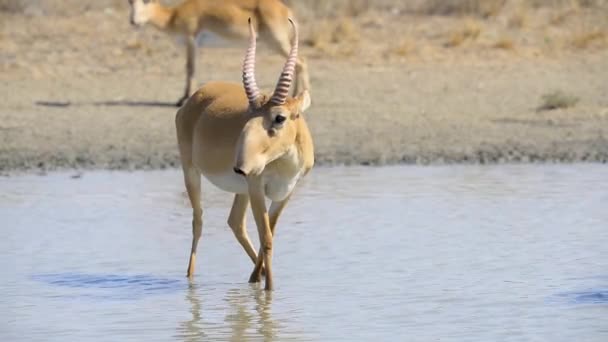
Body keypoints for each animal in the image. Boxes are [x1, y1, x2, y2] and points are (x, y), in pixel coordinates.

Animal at [127, 0, 308, 107]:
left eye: (146, 1)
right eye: (130, 1)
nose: (133, 21)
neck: (173, 15)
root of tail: (286, 10)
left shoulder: (191, 42)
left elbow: (190, 68)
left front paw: (182, 99)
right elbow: (190, 69)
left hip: (277, 42)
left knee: (301, 62)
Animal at [173, 18, 312, 292]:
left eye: (280, 117)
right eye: (249, 115)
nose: (240, 166)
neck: (283, 165)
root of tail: (195, 97)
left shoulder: (286, 192)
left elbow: (270, 231)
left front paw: (258, 282)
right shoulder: (257, 187)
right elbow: (266, 238)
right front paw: (269, 291)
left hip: (241, 190)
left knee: (235, 222)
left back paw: (253, 278)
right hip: (192, 172)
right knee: (198, 221)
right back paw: (190, 278)